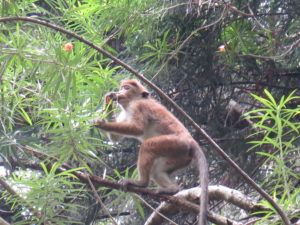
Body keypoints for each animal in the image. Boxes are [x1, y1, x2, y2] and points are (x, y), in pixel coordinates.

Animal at [94, 79, 209, 225]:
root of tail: (192, 142)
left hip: (176, 143)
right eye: (121, 88)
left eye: (126, 88)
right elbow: (115, 137)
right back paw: (172, 189)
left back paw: (141, 183)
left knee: (147, 146)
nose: (119, 92)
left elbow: (137, 129)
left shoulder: (139, 106)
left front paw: (101, 123)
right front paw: (109, 98)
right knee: (157, 171)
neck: (134, 101)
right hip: (181, 156)